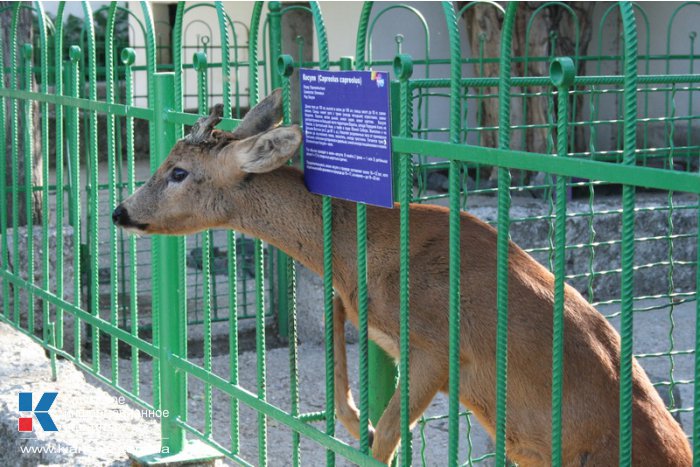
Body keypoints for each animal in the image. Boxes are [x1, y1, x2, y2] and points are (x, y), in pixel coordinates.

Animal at [112, 89, 692, 466]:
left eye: (179, 171)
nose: (120, 211)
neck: (365, 251)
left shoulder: (438, 347)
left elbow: (385, 439)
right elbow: (350, 409)